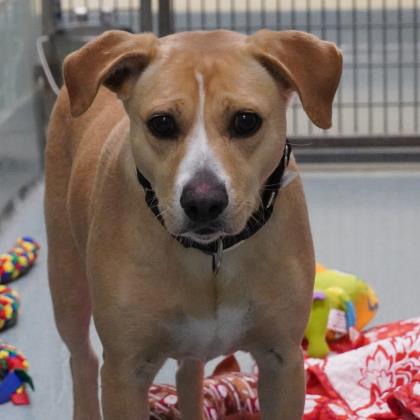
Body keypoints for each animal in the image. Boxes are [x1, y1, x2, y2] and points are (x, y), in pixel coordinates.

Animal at [44, 29, 342, 420]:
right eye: (162, 123)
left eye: (246, 121)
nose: (203, 202)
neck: (212, 255)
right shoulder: (125, 373)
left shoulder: (283, 362)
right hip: (67, 284)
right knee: (82, 359)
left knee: (188, 372)